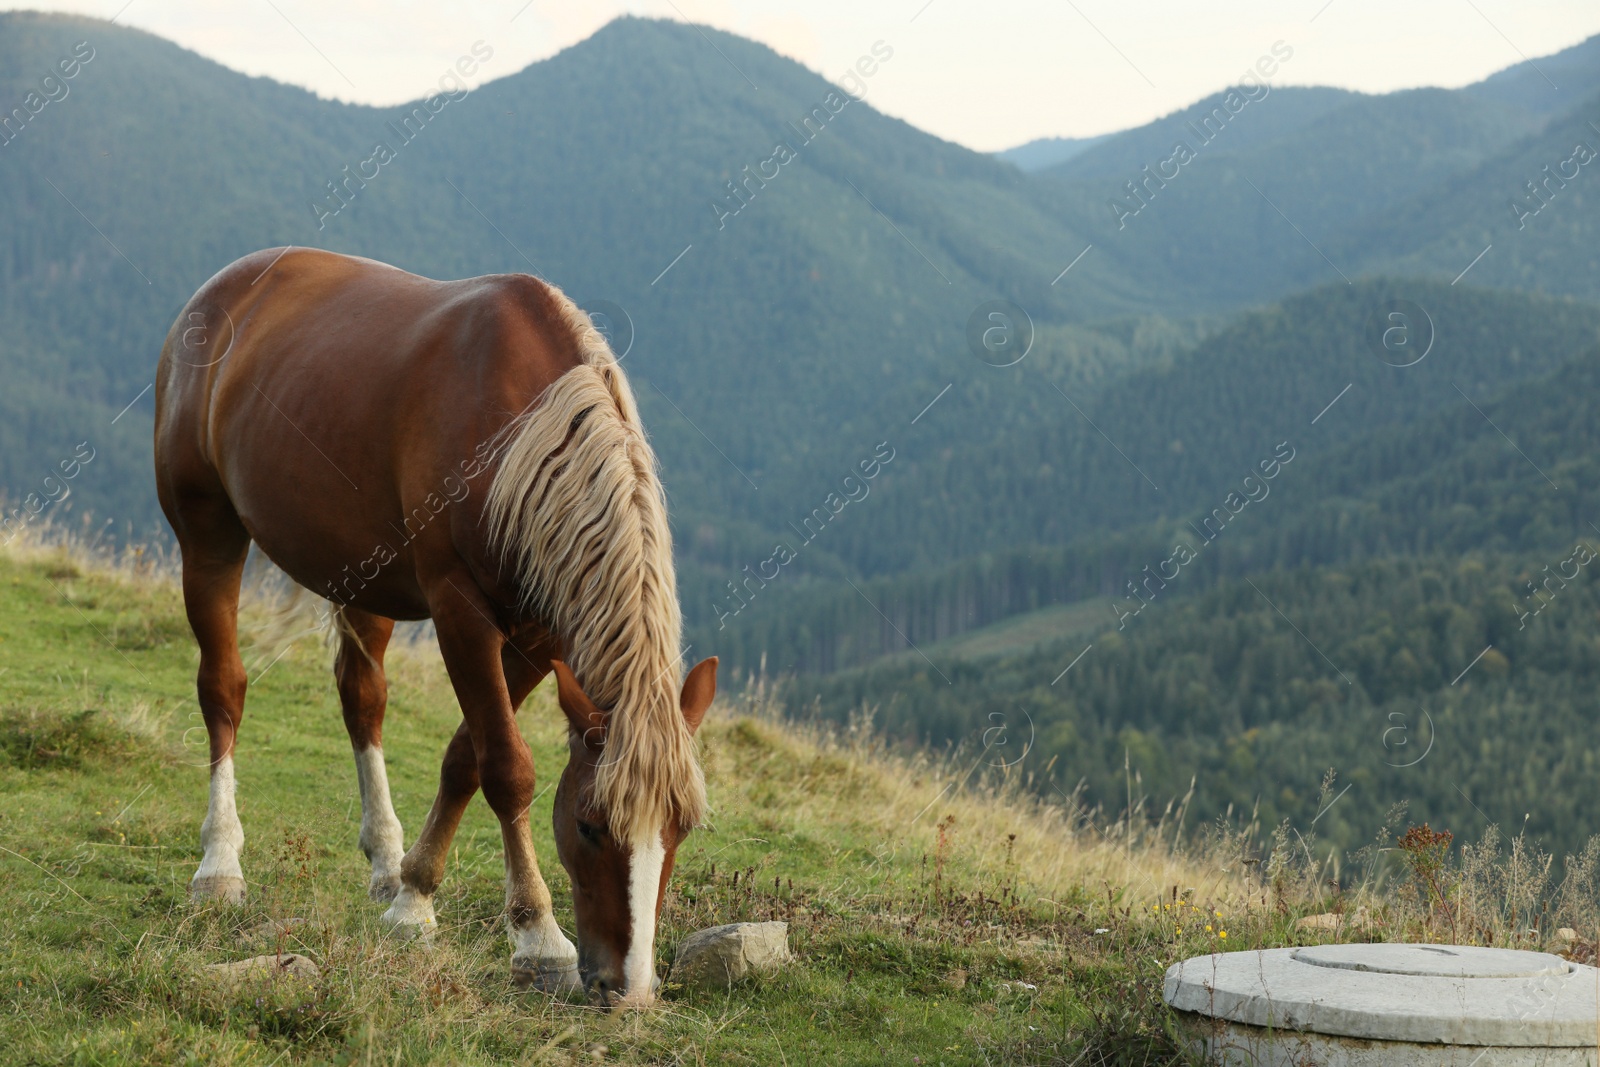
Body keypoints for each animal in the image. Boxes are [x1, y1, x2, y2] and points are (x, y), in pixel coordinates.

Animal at [156, 246, 720, 1004]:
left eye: (681, 829)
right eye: (588, 824)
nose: (626, 988)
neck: (522, 434)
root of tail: (227, 287)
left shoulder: (538, 636)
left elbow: (464, 757)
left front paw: (414, 893)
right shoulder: (460, 609)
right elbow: (506, 767)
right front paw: (538, 936)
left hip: (362, 575)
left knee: (362, 698)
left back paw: (383, 859)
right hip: (207, 530)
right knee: (223, 687)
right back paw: (219, 863)